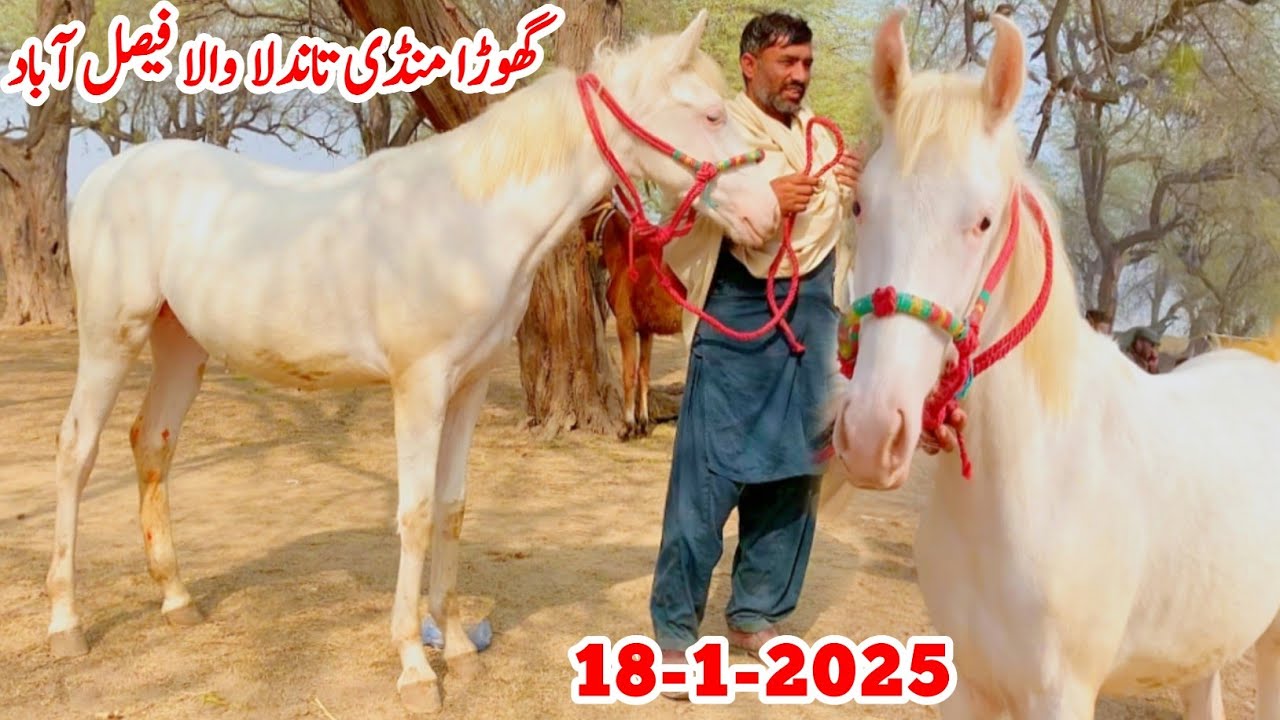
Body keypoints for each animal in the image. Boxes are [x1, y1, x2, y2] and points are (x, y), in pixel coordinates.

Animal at [580, 192, 684, 439]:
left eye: (589, 205)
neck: (627, 259)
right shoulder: (646, 331)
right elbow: (643, 374)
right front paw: (643, 424)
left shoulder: (625, 325)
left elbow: (628, 374)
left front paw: (627, 427)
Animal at [825, 9, 1280, 719]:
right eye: (860, 205)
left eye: (983, 221)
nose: (873, 434)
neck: (1040, 476)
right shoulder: (968, 686)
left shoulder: (1061, 693)